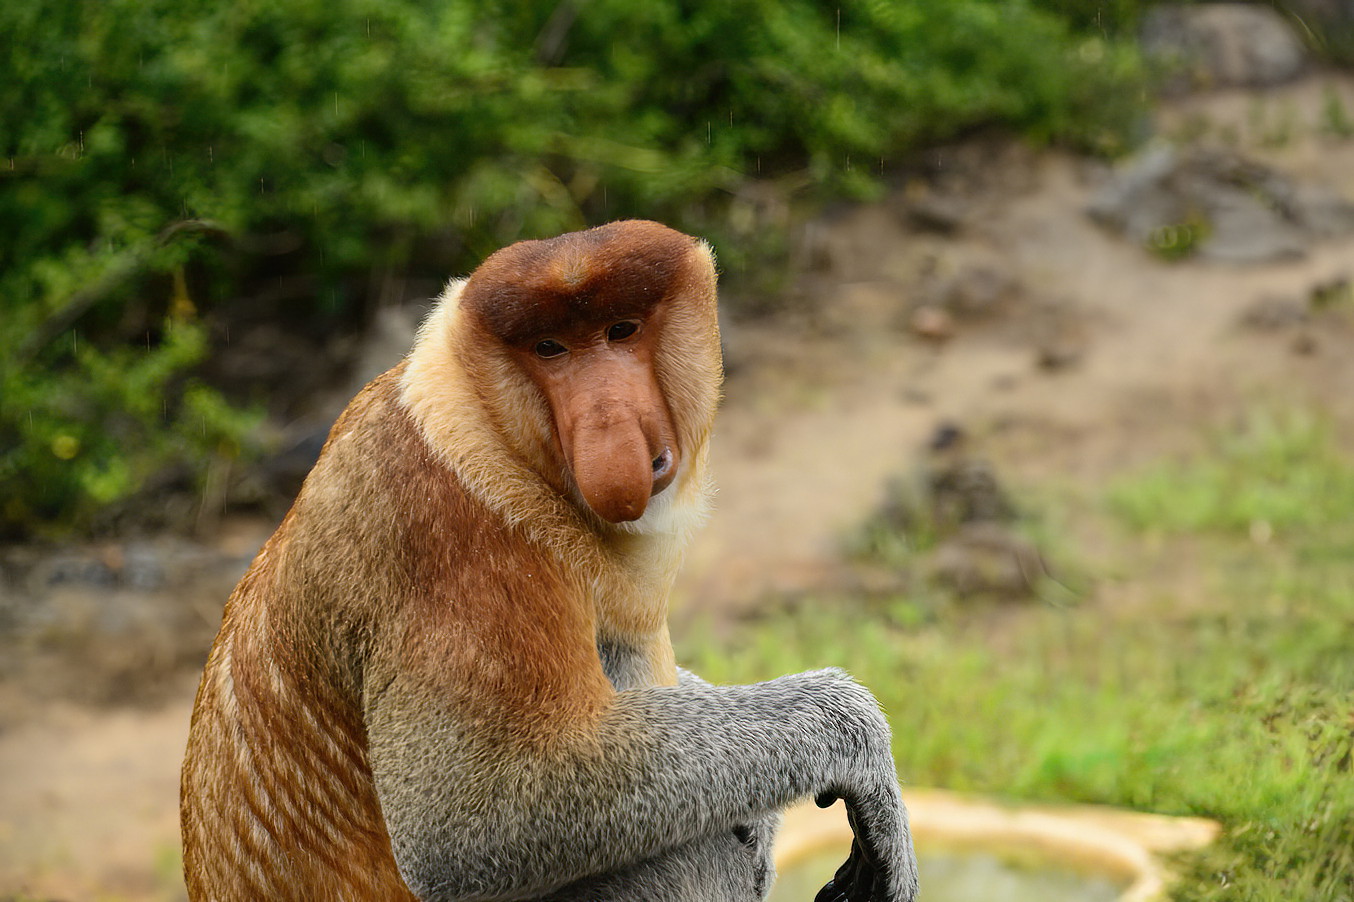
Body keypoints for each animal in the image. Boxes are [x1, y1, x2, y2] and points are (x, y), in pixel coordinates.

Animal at [180, 220, 918, 902]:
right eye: (550, 348)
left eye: (621, 330)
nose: (607, 429)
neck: (488, 424)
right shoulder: (452, 533)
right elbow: (468, 825)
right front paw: (856, 742)